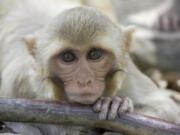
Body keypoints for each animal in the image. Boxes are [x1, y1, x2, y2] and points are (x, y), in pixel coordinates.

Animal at [0, 0, 180, 135]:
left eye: (94, 54)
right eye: (67, 57)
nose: (84, 81)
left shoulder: (127, 74)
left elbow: (167, 109)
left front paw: (114, 104)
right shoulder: (18, 82)